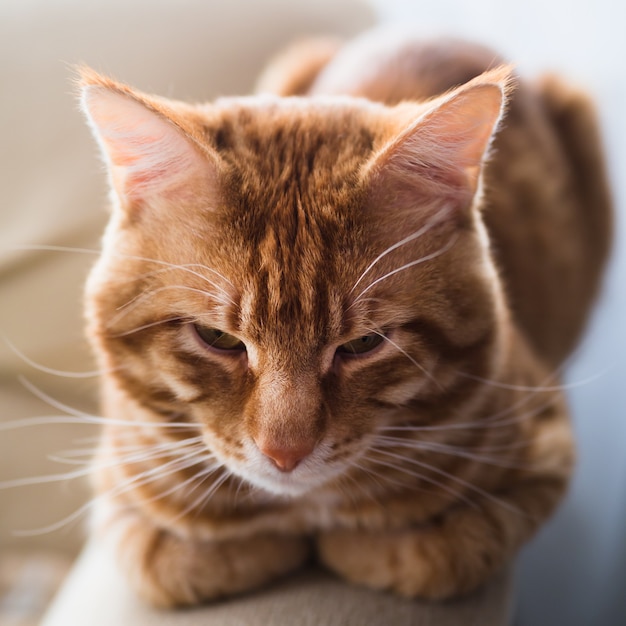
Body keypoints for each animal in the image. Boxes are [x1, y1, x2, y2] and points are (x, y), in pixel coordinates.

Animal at [79, 29, 608, 604]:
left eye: (362, 344)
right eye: (217, 338)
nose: (284, 453)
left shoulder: (543, 457)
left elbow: (433, 554)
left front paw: (348, 543)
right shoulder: (117, 492)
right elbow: (177, 560)